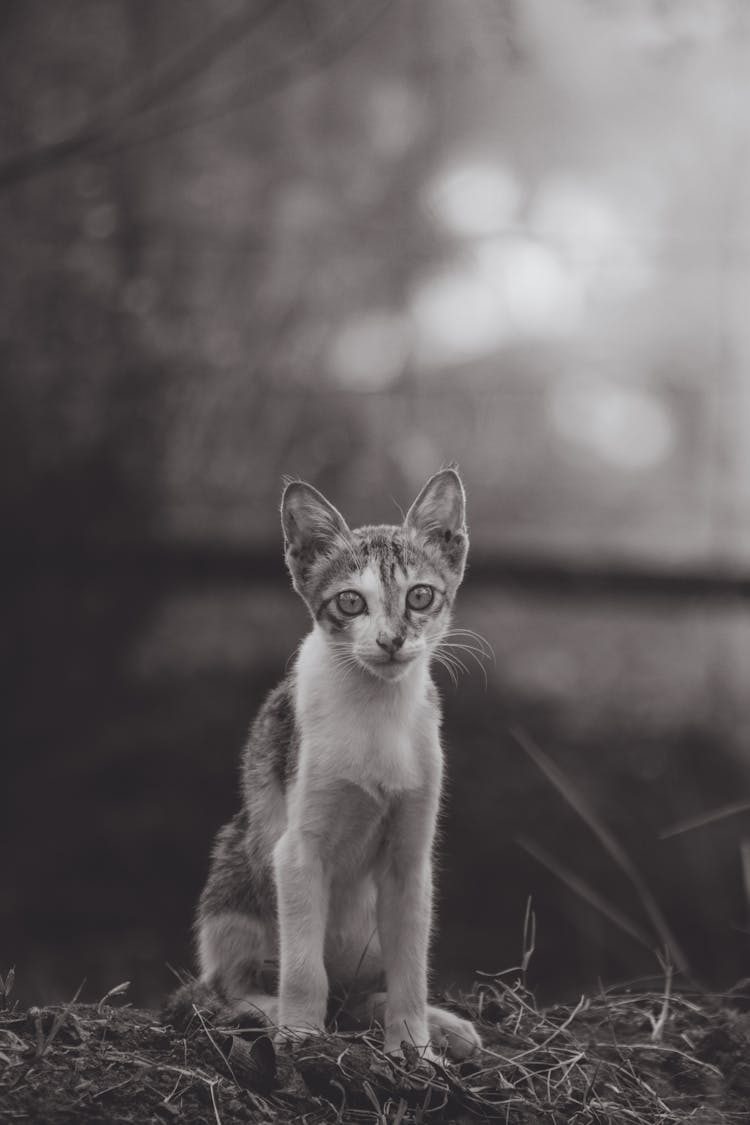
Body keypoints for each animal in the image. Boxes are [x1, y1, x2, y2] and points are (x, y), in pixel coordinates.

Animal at [191, 468, 481, 1062]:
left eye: (420, 595)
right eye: (351, 603)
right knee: (226, 986)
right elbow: (304, 969)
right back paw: (272, 1011)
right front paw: (300, 1036)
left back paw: (435, 1024)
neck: (376, 713)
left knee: (359, 993)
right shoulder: (298, 851)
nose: (392, 640)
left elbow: (411, 968)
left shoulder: (410, 861)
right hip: (236, 871)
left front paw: (414, 1045)